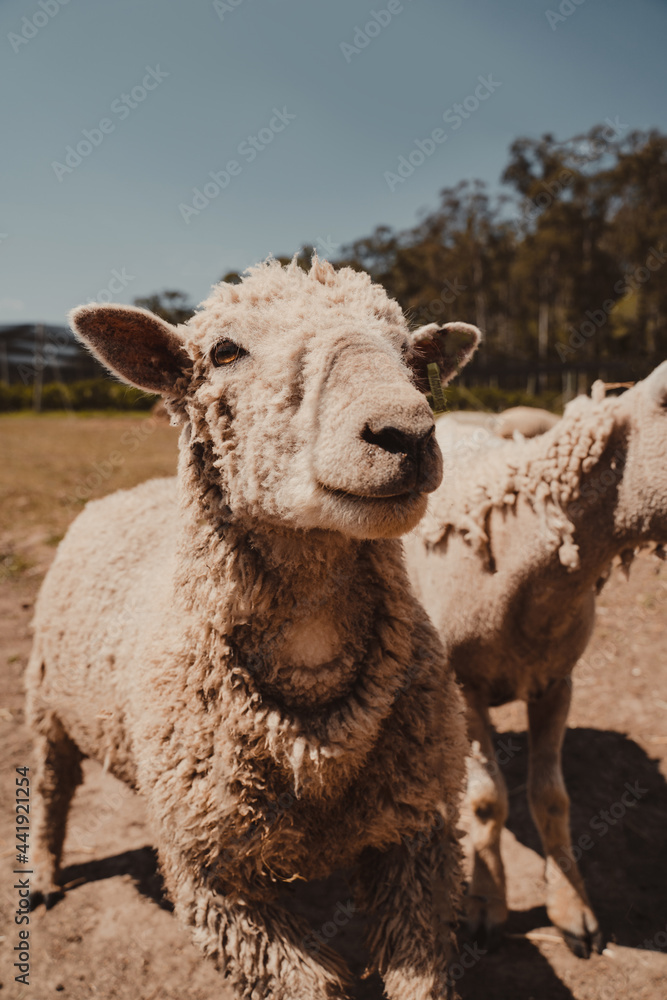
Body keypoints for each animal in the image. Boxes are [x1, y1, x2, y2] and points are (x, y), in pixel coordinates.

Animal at [26, 258, 481, 1000]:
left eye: (414, 358)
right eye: (223, 352)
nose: (406, 434)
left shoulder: (420, 839)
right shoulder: (212, 880)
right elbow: (314, 984)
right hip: (45, 704)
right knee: (50, 788)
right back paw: (44, 874)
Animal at [403, 365, 667, 959]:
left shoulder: (557, 681)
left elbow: (552, 798)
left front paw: (573, 910)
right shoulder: (465, 685)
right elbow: (487, 801)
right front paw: (485, 903)